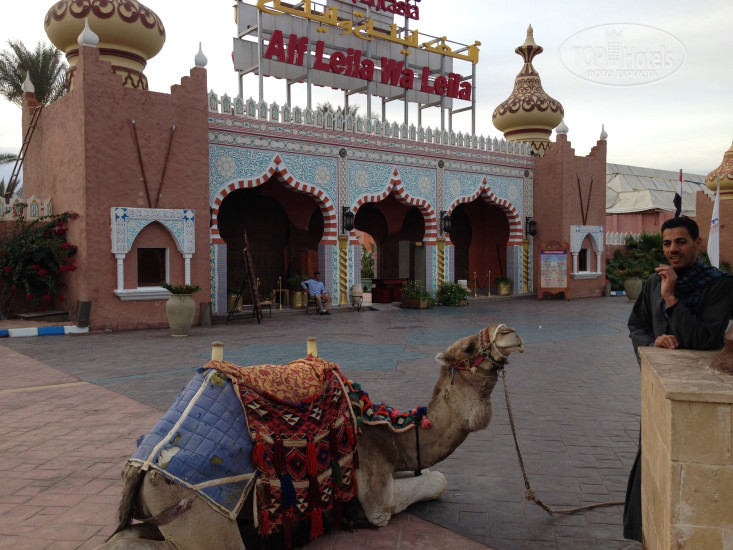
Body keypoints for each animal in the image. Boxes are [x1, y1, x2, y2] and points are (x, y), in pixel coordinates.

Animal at [97, 323, 524, 549]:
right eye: (469, 345)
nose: (510, 332)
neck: (391, 432)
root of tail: (139, 469)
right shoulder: (375, 491)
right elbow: (433, 482)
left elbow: (431, 476)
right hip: (203, 518)